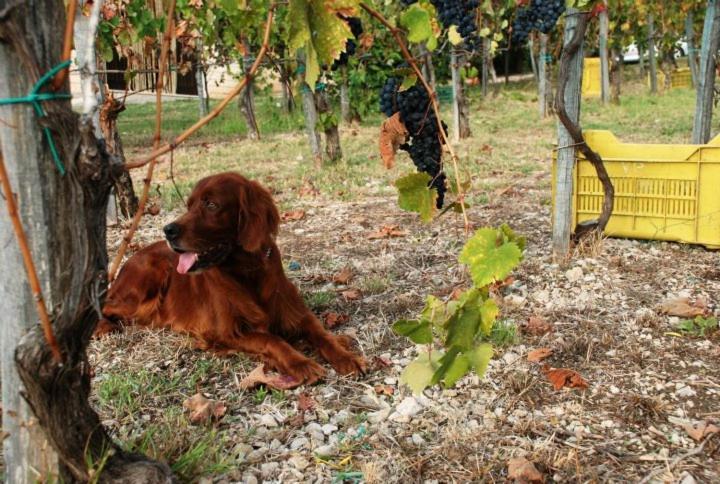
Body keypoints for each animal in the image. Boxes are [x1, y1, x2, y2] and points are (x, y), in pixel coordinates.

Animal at [96, 172, 366, 384]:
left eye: (211, 205)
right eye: (189, 205)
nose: (168, 230)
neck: (248, 271)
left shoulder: (296, 313)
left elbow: (321, 333)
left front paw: (348, 357)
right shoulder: (225, 333)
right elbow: (272, 340)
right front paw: (301, 363)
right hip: (147, 281)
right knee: (105, 304)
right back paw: (102, 327)